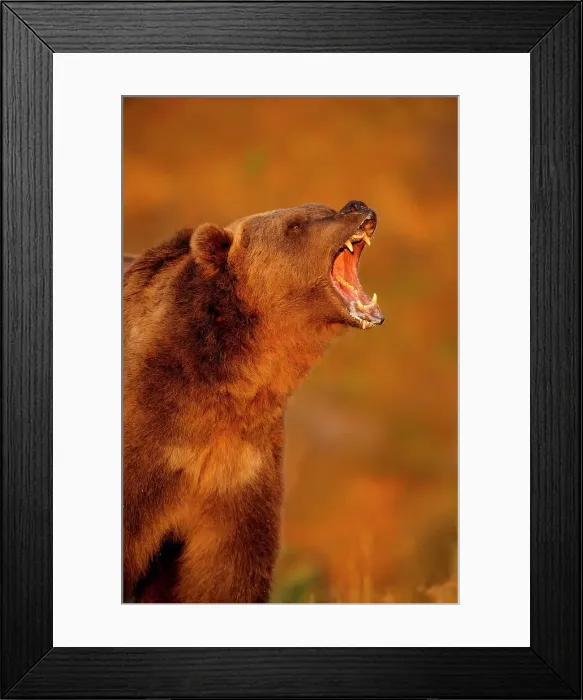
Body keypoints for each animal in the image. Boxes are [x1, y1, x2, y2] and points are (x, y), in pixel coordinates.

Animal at [123, 200, 383, 603]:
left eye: (324, 207)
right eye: (295, 225)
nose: (357, 207)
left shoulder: (241, 469)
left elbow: (228, 575)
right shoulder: (147, 447)